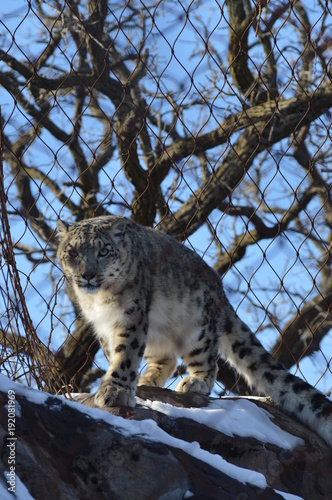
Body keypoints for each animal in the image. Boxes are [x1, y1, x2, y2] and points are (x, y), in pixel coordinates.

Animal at [57, 216, 332, 450]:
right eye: (72, 253)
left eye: (103, 251)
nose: (88, 275)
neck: (99, 301)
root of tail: (221, 292)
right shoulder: (103, 328)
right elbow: (116, 353)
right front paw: (119, 386)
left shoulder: (130, 316)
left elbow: (125, 354)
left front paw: (115, 392)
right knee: (167, 359)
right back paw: (147, 380)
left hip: (197, 330)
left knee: (209, 364)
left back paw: (194, 382)